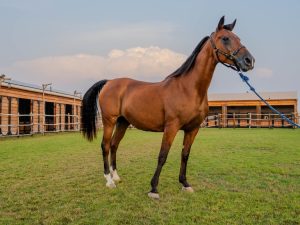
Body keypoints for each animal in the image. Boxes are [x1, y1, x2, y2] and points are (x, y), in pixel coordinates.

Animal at [81, 16, 254, 199]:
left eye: (239, 38)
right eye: (225, 38)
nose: (249, 61)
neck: (188, 88)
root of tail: (109, 82)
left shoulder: (192, 129)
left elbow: (185, 155)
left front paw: (185, 184)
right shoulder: (171, 127)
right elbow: (162, 156)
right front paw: (153, 189)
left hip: (123, 122)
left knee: (114, 145)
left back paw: (116, 177)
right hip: (109, 121)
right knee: (105, 146)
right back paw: (109, 181)